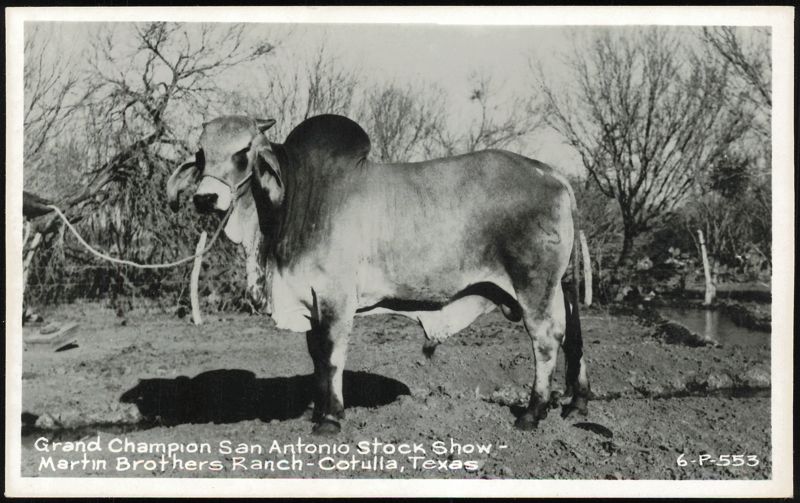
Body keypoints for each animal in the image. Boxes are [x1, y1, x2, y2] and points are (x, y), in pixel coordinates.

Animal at [167, 114, 591, 435]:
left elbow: (332, 356)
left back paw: (533, 412)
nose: (206, 198)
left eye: (243, 151)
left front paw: (331, 419)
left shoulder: (336, 300)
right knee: (571, 330)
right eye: (201, 153)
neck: (296, 202)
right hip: (556, 286)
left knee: (546, 339)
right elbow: (316, 358)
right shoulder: (312, 301)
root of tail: (552, 174)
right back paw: (577, 402)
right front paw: (316, 411)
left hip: (533, 286)